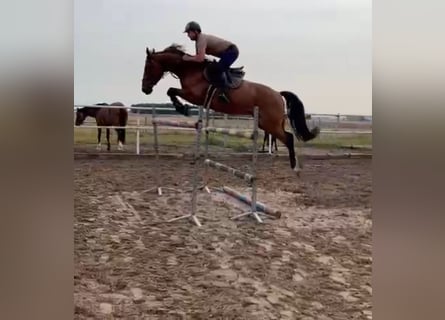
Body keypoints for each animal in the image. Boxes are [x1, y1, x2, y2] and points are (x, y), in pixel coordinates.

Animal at [140, 44, 318, 174]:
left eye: (148, 66)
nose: (145, 89)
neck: (189, 69)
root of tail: (278, 93)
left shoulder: (193, 95)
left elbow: (171, 90)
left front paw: (182, 108)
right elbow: (171, 91)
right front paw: (181, 107)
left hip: (270, 124)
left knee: (288, 138)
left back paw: (294, 167)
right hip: (268, 123)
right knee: (286, 137)